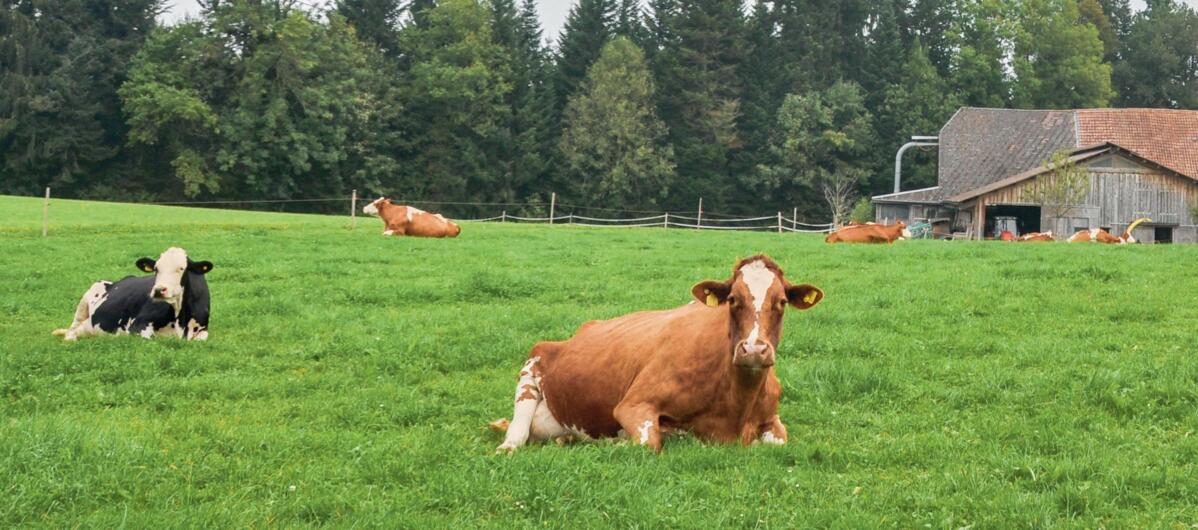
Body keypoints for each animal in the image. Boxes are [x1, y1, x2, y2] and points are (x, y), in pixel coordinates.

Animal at [52, 247, 213, 341]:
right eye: (156, 268)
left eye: (181, 268)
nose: (159, 290)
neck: (180, 318)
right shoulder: (137, 325)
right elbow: (150, 338)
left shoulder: (203, 329)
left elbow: (202, 338)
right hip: (84, 303)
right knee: (72, 330)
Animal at [491, 255, 824, 454]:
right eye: (732, 299)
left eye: (782, 302)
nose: (753, 350)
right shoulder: (633, 405)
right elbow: (650, 442)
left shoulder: (773, 421)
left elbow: (777, 441)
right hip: (534, 362)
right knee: (518, 431)